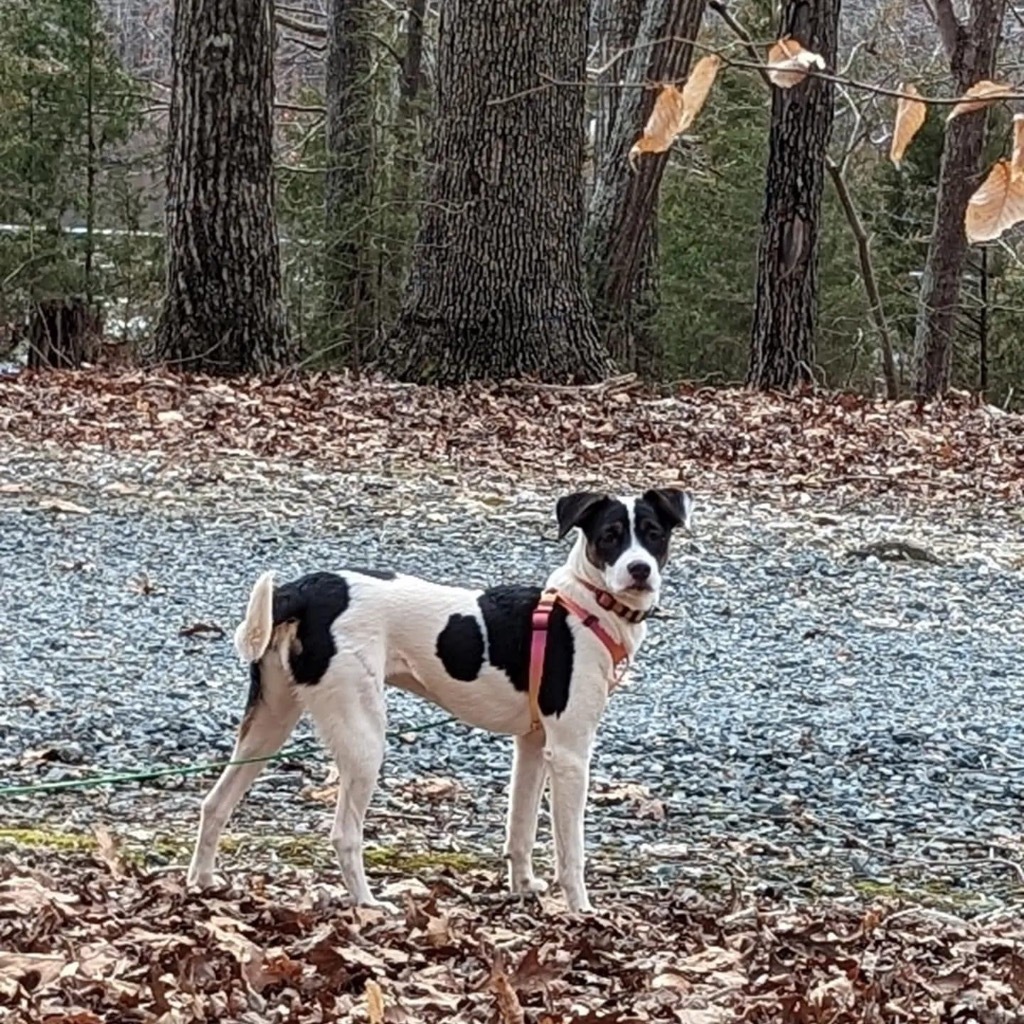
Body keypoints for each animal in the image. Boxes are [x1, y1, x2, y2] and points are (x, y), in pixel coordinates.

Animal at [187, 487, 692, 913]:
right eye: (609, 536)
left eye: (653, 534)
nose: (640, 570)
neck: (587, 605)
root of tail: (304, 590)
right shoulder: (569, 753)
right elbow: (571, 851)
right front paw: (581, 910)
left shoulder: (532, 746)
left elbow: (521, 828)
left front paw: (522, 888)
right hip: (363, 736)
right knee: (344, 834)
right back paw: (368, 903)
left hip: (269, 725)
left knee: (215, 803)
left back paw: (203, 881)